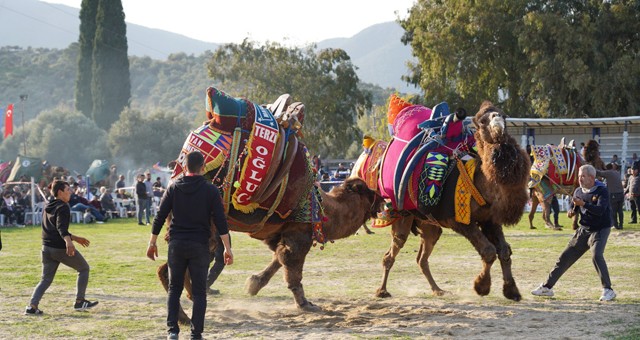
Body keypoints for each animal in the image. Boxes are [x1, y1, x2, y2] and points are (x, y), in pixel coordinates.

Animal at [352, 96, 528, 300]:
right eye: (481, 121)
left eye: (504, 116)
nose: (498, 124)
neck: (480, 183)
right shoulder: (458, 220)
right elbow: (489, 251)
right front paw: (481, 287)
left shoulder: (489, 220)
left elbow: (504, 251)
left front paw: (512, 290)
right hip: (403, 216)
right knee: (391, 254)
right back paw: (382, 291)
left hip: (429, 225)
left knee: (421, 258)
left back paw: (438, 289)